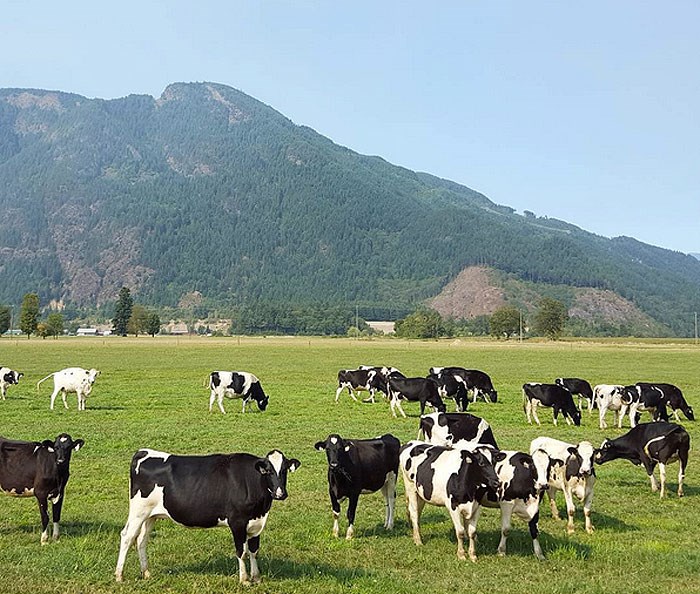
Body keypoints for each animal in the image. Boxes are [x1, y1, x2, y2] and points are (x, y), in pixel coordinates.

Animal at [115, 446, 300, 580]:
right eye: (268, 471)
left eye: (284, 470)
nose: (280, 493)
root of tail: (144, 452)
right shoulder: (237, 522)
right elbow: (242, 552)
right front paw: (244, 579)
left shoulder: (257, 522)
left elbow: (254, 550)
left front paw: (256, 577)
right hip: (138, 511)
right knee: (127, 536)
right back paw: (119, 576)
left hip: (150, 515)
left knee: (141, 540)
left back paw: (146, 573)